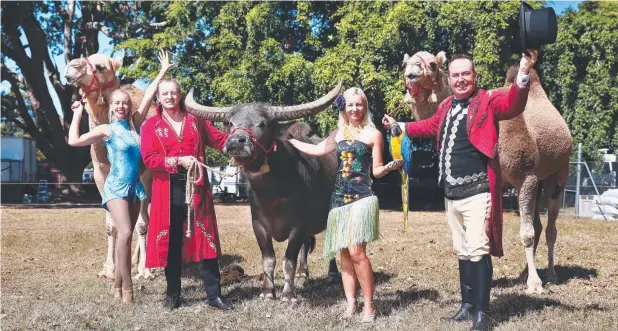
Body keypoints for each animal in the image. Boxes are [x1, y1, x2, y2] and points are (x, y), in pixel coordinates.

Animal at [63, 53, 155, 280]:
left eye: (100, 67)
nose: (71, 67)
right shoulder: (100, 173)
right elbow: (111, 224)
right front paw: (109, 269)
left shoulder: (144, 175)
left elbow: (142, 223)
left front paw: (145, 270)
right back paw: (133, 261)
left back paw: (146, 264)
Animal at [185, 82, 344, 300]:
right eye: (232, 123)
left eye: (262, 123)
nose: (235, 142)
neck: (273, 195)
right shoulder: (258, 225)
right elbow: (269, 259)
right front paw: (268, 291)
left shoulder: (298, 225)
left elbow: (288, 260)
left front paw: (288, 294)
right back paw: (302, 276)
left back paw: (332, 275)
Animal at [402, 50, 572, 294]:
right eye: (405, 63)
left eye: (432, 64)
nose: (411, 74)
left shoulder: (527, 176)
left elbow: (526, 234)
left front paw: (535, 284)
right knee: (539, 226)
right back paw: (523, 273)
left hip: (557, 172)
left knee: (550, 227)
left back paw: (550, 274)